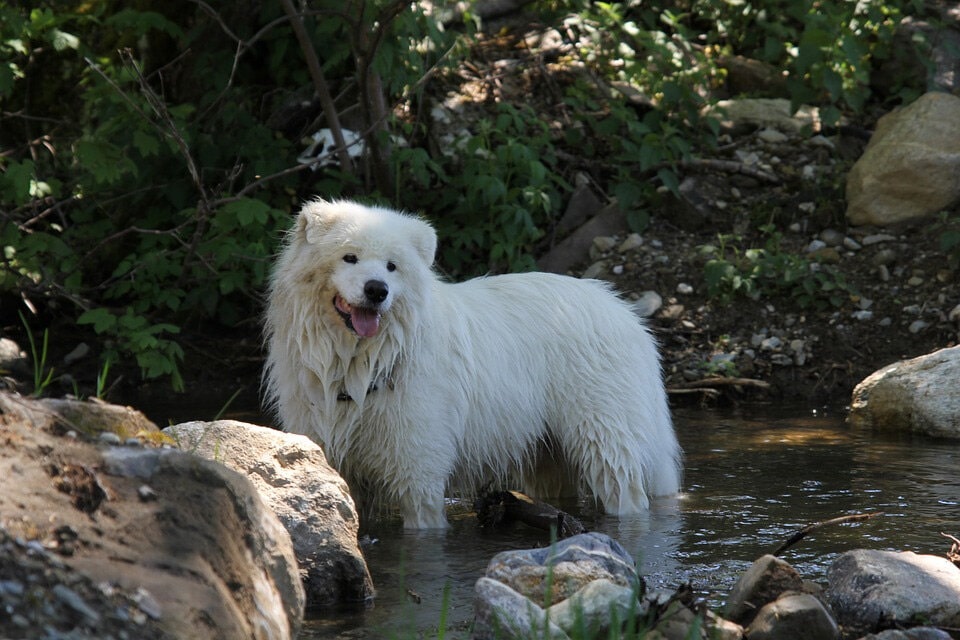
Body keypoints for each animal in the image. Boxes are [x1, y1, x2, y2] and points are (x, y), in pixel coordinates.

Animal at [262, 198, 684, 528]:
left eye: (392, 266)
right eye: (349, 257)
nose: (377, 290)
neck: (359, 361)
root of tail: (627, 316)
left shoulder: (418, 467)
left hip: (604, 435)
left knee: (625, 489)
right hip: (548, 451)